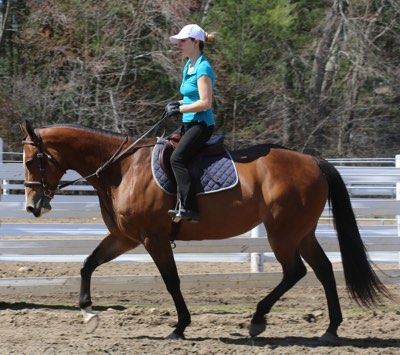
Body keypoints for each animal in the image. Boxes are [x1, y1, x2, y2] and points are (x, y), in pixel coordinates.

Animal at [20, 119, 390, 342]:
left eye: (31, 161)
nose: (33, 207)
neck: (122, 169)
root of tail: (313, 161)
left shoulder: (153, 239)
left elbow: (172, 281)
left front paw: (180, 326)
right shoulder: (124, 238)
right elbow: (87, 264)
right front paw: (87, 314)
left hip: (282, 233)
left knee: (295, 271)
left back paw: (259, 319)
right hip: (301, 232)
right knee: (324, 269)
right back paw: (330, 329)